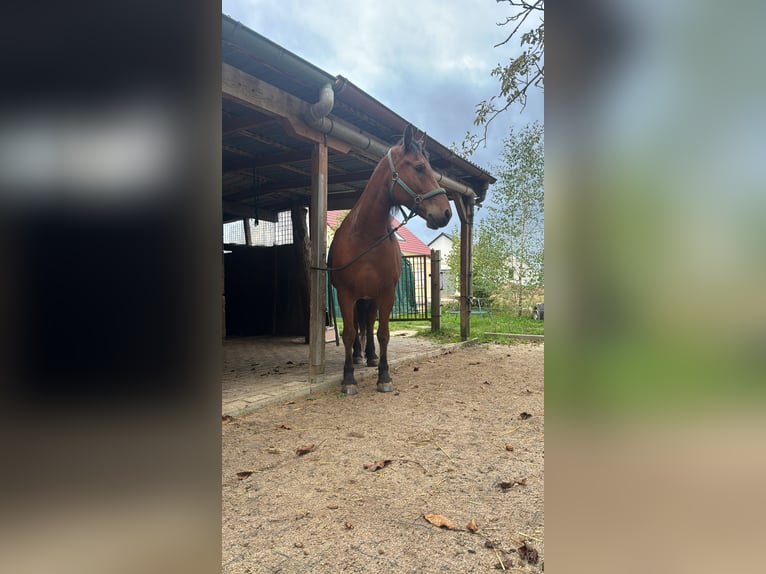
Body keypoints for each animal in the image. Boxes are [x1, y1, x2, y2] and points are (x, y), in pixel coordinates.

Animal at [327, 124, 452, 395]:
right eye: (419, 167)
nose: (446, 213)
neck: (364, 238)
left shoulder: (385, 293)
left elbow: (383, 333)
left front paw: (384, 376)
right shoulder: (345, 294)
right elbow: (349, 333)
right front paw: (348, 378)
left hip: (370, 298)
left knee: (368, 324)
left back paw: (371, 356)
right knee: (358, 327)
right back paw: (357, 356)